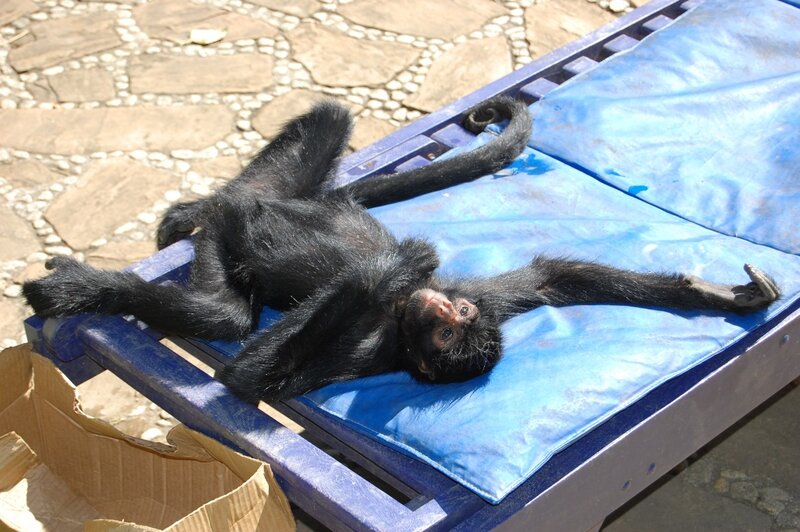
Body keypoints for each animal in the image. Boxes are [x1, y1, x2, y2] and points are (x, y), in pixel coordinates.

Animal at [22, 96, 780, 403]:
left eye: (447, 333)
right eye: (453, 314)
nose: (434, 302)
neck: (394, 323)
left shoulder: (364, 357)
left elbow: (251, 373)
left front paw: (395, 268)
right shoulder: (488, 297)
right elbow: (551, 277)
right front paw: (718, 292)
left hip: (228, 253)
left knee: (225, 313)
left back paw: (75, 286)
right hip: (292, 189)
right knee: (314, 135)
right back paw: (193, 209)